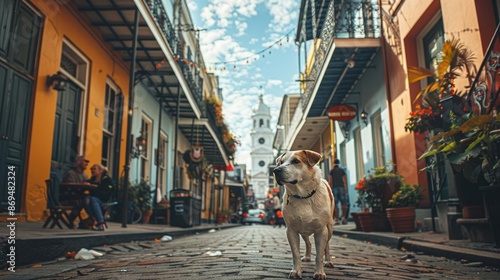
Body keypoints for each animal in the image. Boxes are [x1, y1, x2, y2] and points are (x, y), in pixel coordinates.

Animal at [272, 150, 334, 278]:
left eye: (296, 161)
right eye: (280, 162)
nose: (276, 170)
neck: (303, 196)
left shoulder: (321, 230)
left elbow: (319, 255)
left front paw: (319, 272)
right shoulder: (291, 230)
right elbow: (295, 253)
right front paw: (296, 271)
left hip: (329, 227)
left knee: (327, 246)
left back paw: (328, 261)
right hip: (304, 229)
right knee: (308, 243)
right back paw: (307, 257)